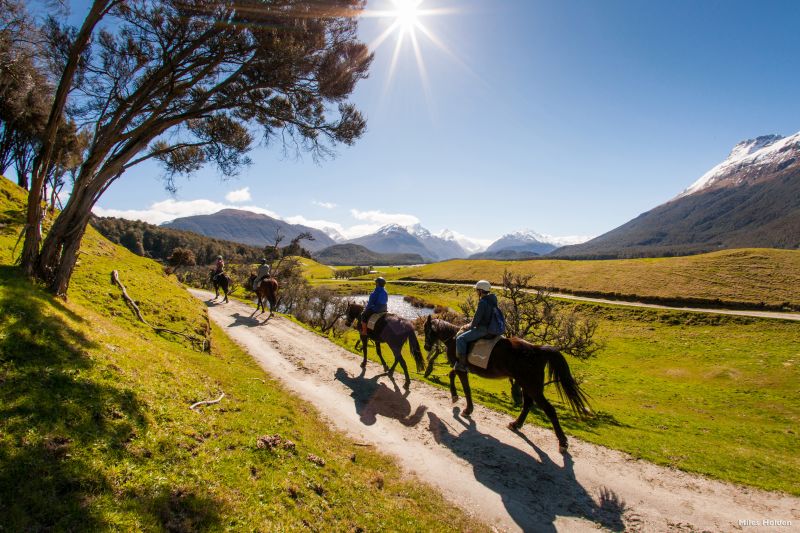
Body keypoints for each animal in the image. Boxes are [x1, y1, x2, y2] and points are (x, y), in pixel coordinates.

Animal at [424, 316, 588, 454]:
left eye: (426, 329)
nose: (426, 347)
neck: (454, 338)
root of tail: (537, 349)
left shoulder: (461, 368)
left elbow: (466, 388)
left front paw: (466, 409)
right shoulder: (459, 367)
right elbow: (452, 375)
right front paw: (455, 397)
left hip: (532, 386)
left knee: (549, 410)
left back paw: (562, 442)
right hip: (525, 384)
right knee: (528, 404)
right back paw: (515, 424)